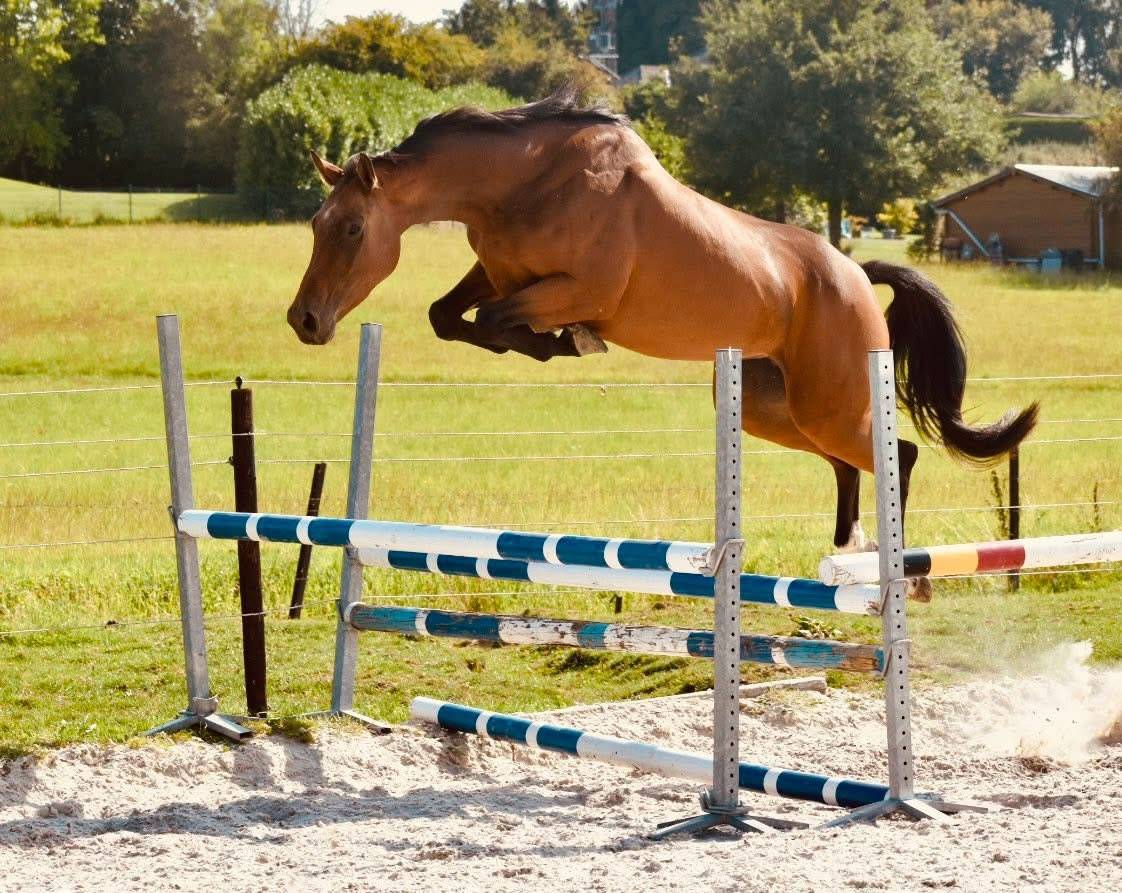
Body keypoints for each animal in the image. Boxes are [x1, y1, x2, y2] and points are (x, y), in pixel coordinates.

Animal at [289, 90, 1038, 553]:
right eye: (317, 224)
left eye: (352, 228)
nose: (304, 320)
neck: (525, 184)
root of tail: (856, 273)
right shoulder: (500, 272)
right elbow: (449, 315)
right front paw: (547, 345)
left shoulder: (569, 288)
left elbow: (500, 319)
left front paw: (565, 343)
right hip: (776, 406)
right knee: (850, 463)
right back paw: (847, 545)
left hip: (827, 399)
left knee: (897, 454)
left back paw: (894, 560)